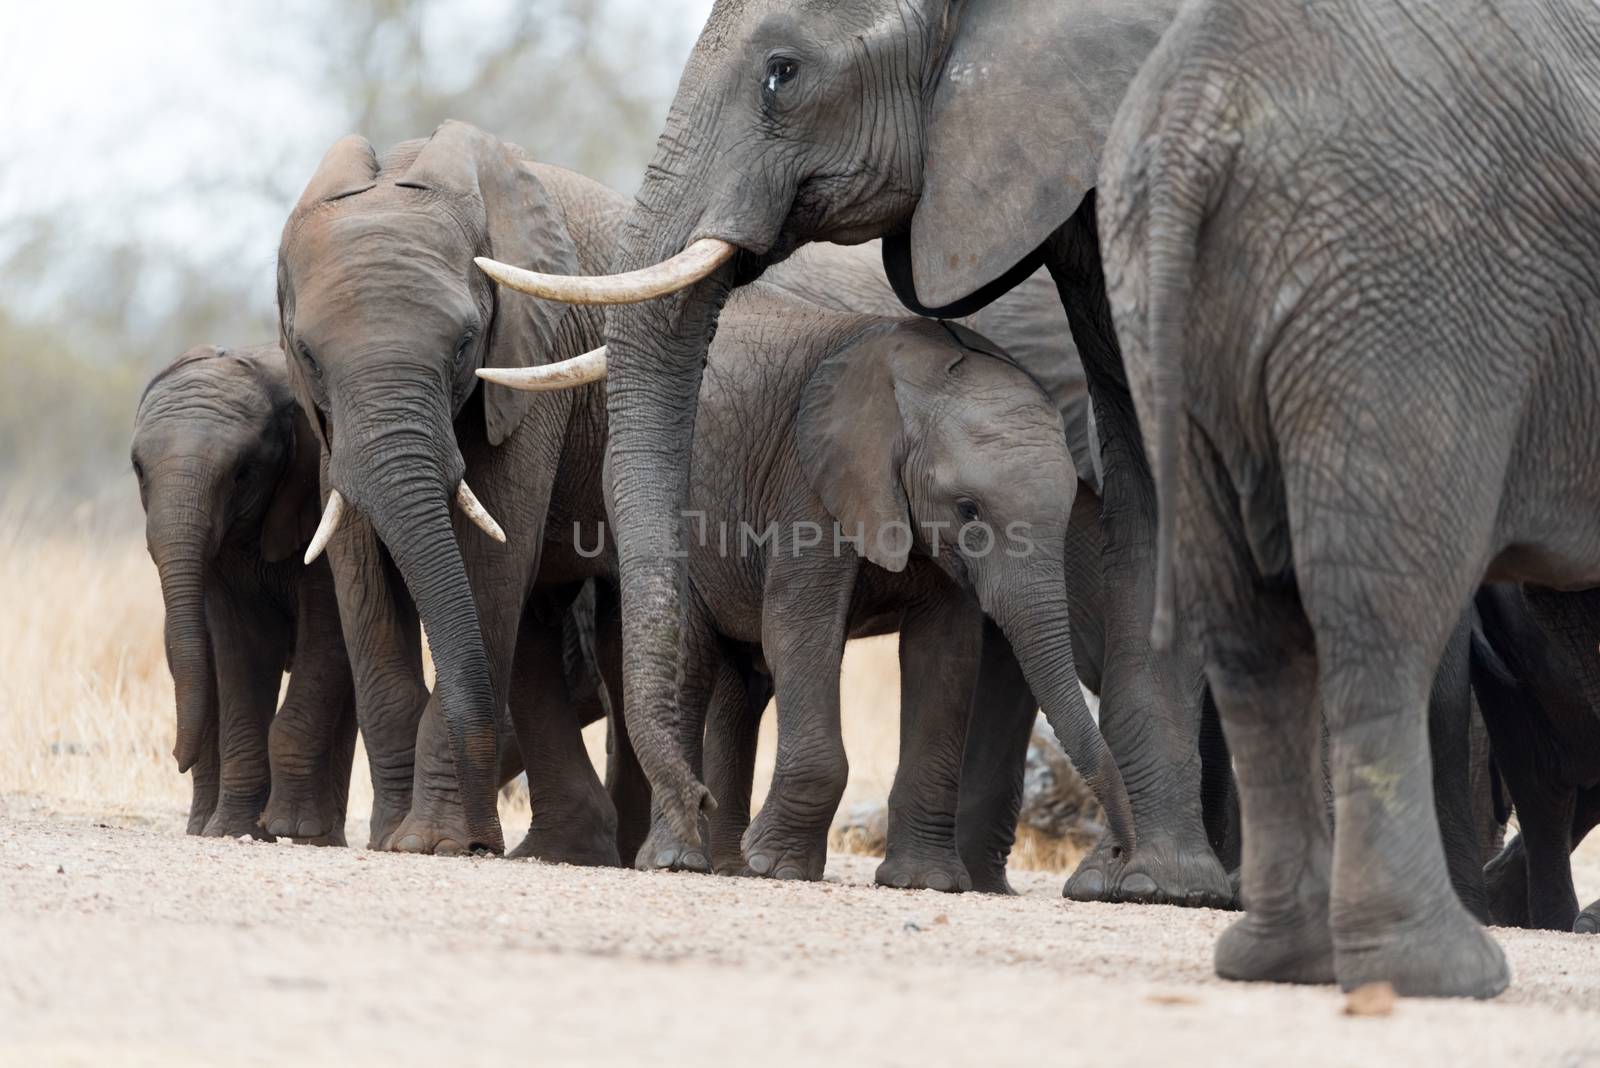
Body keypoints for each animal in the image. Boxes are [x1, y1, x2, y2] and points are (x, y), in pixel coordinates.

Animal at [133, 343, 356, 844]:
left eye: (242, 473)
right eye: (137, 470)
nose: (175, 758)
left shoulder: (321, 504)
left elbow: (327, 630)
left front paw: (289, 828)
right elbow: (244, 646)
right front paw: (233, 830)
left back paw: (323, 836)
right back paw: (203, 828)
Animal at [473, 0, 1222, 908]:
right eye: (782, 75)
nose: (1113, 847)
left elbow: (947, 651)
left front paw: (924, 885)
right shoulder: (812, 487)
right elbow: (802, 628)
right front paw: (776, 868)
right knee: (707, 663)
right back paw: (690, 858)